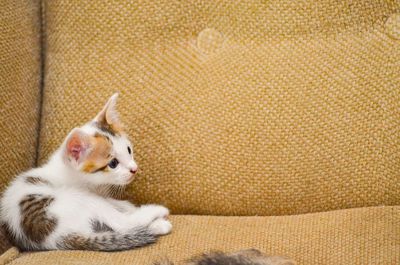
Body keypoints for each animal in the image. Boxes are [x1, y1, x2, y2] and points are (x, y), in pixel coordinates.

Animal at [0, 94, 172, 251]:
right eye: (113, 164)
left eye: (128, 150)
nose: (134, 169)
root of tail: (55, 238)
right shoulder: (88, 193)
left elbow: (112, 202)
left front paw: (125, 205)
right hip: (76, 200)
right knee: (123, 223)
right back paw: (157, 214)